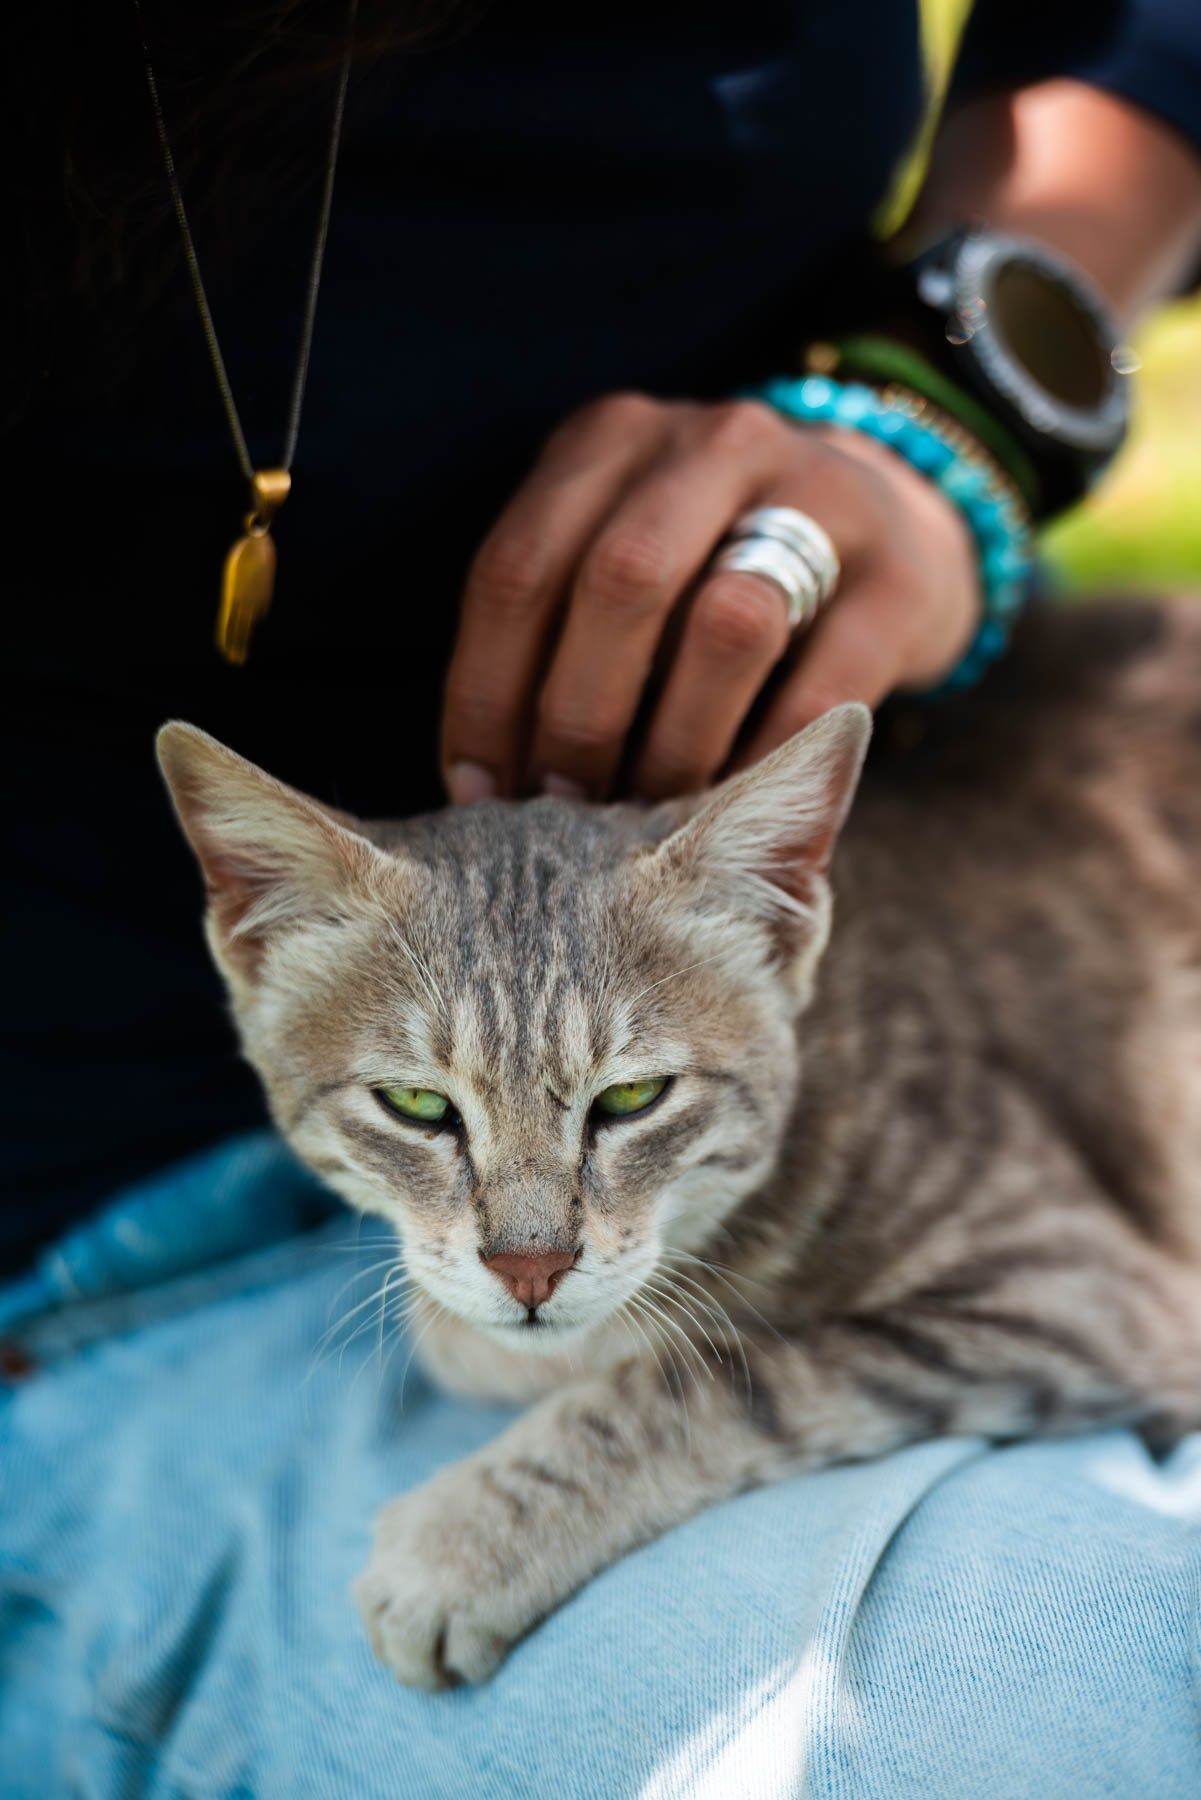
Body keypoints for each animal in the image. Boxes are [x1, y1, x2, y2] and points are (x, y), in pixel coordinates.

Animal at [157, 601, 1201, 1684]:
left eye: (633, 1098)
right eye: (415, 1104)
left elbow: (707, 1380)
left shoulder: (1077, 1292)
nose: (529, 1268)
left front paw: (466, 1541)